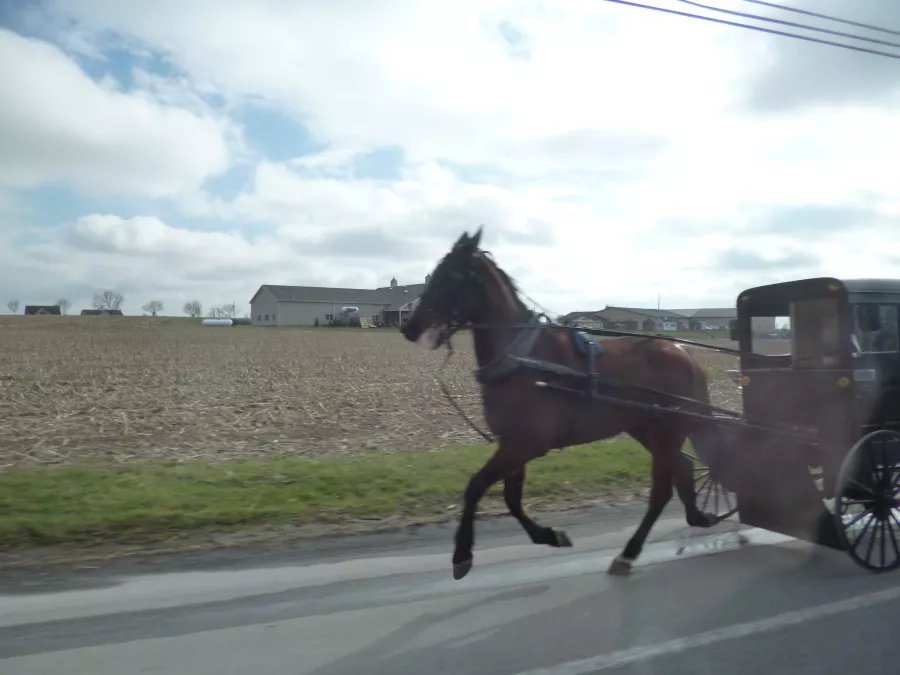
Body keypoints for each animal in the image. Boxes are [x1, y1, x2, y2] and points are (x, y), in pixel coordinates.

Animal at [400, 227, 724, 580]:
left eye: (453, 274)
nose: (409, 326)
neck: (522, 358)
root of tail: (684, 352)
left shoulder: (524, 444)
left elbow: (476, 486)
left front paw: (461, 553)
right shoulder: (514, 444)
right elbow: (511, 498)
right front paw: (548, 535)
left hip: (667, 430)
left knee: (662, 490)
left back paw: (629, 552)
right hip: (646, 429)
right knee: (684, 468)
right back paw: (696, 516)